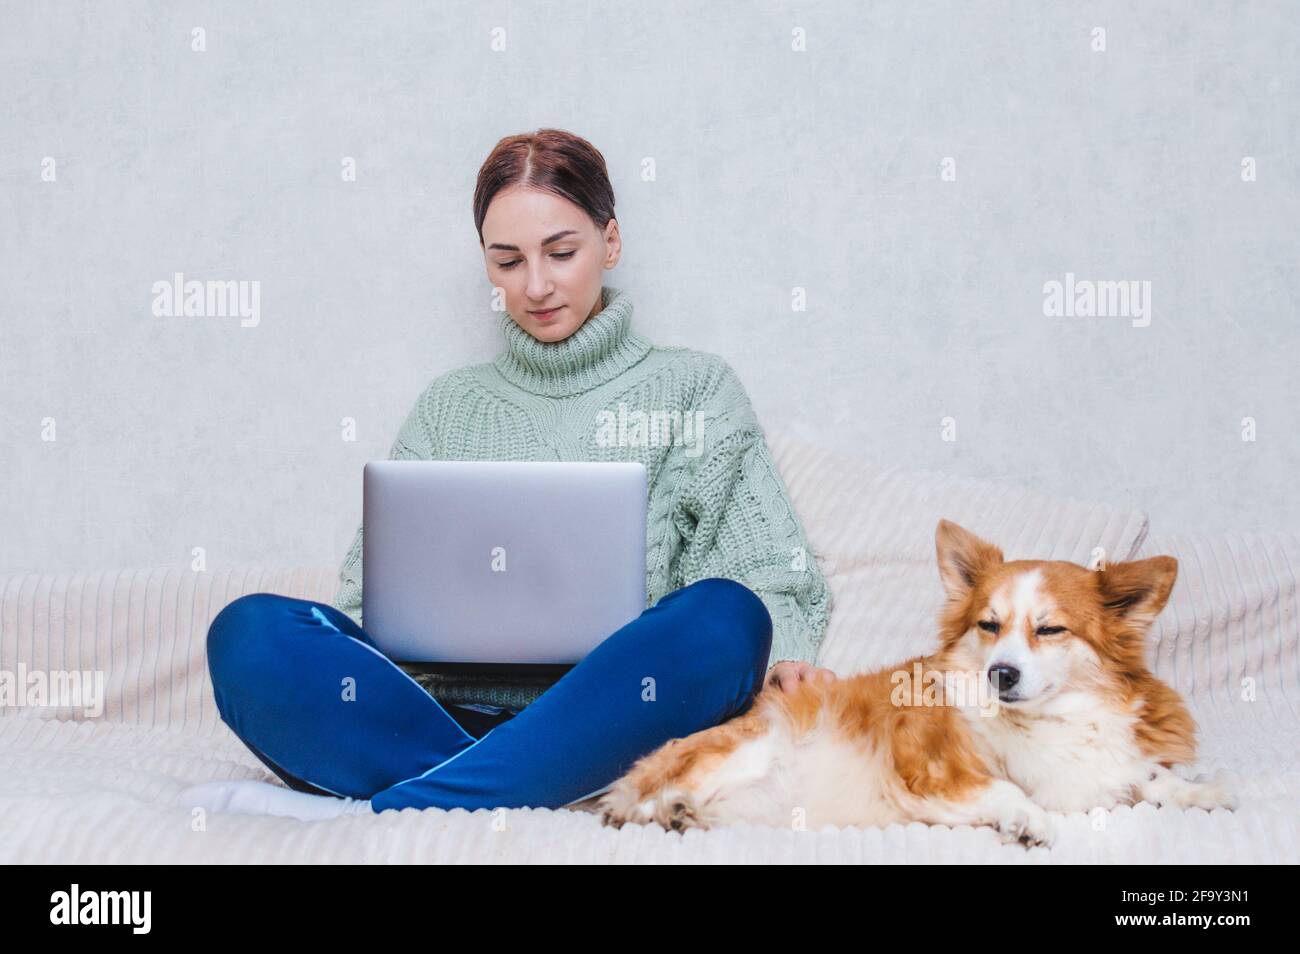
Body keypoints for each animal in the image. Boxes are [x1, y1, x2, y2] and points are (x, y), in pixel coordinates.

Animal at [595, 519, 1232, 847]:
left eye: (1050, 629)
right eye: (989, 626)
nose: (1001, 673)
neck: (1051, 719)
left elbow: (1149, 777)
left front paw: (1200, 791)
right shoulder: (926, 764)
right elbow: (1006, 789)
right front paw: (1027, 820)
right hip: (760, 740)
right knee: (638, 801)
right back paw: (665, 808)